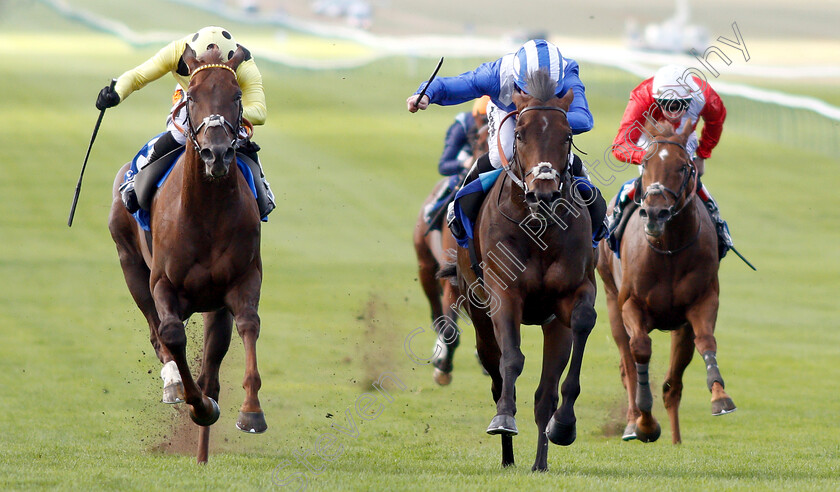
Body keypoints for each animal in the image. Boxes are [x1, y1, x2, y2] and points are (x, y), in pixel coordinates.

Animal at [108, 44, 266, 464]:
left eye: (237, 96)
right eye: (191, 96)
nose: (217, 153)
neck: (206, 213)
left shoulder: (241, 281)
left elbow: (248, 325)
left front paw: (250, 412)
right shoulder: (163, 282)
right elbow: (172, 335)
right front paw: (195, 402)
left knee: (212, 364)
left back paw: (203, 450)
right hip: (130, 265)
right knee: (156, 333)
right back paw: (173, 383)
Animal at [412, 119, 486, 384]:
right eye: (478, 143)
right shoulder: (452, 277)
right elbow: (449, 327)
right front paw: (442, 367)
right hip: (425, 264)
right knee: (437, 314)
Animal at [442, 70, 600, 472]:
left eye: (567, 135)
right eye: (521, 134)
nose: (542, 191)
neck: (538, 226)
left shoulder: (573, 294)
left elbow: (583, 322)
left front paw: (565, 425)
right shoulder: (503, 294)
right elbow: (511, 360)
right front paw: (503, 419)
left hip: (551, 325)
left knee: (545, 395)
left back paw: (539, 461)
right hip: (479, 313)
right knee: (496, 372)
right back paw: (507, 455)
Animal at [596, 120, 736, 446]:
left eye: (684, 167)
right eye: (645, 163)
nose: (655, 212)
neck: (668, 250)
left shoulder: (701, 301)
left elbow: (705, 342)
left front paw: (720, 397)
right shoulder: (630, 304)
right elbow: (640, 350)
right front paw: (645, 423)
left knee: (673, 384)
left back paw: (675, 438)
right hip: (611, 300)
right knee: (627, 362)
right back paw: (631, 421)